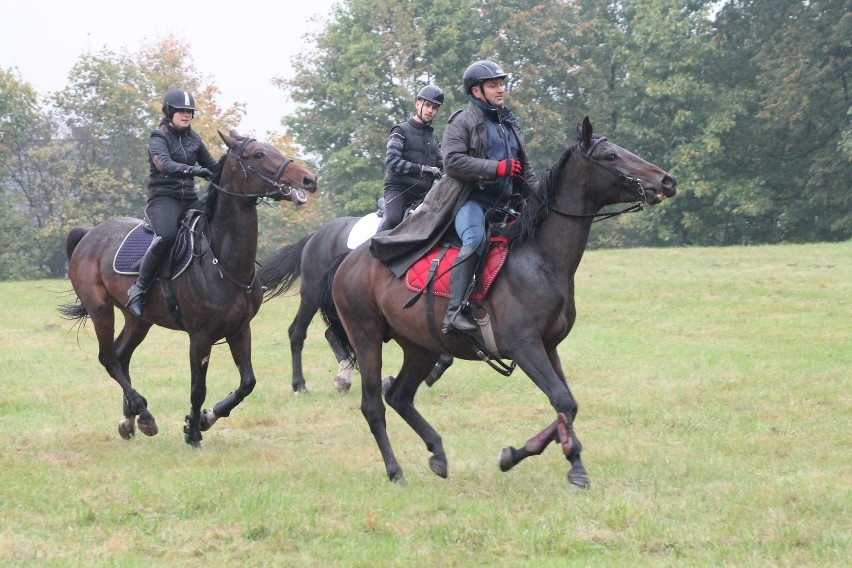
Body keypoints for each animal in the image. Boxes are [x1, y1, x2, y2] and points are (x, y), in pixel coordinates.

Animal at [58, 132, 316, 448]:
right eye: (258, 154)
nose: (309, 179)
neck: (222, 260)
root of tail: (89, 235)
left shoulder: (239, 330)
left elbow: (247, 383)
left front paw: (205, 419)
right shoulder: (200, 337)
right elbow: (198, 389)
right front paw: (193, 432)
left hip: (138, 319)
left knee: (121, 355)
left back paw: (130, 421)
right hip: (100, 310)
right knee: (108, 358)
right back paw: (144, 414)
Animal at [322, 116, 680, 488]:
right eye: (610, 156)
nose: (666, 181)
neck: (540, 259)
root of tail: (349, 259)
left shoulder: (548, 347)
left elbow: (567, 405)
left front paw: (561, 461)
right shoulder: (524, 347)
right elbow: (563, 401)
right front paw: (543, 458)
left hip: (421, 347)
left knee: (399, 396)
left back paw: (438, 453)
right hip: (367, 339)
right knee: (374, 405)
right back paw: (396, 471)